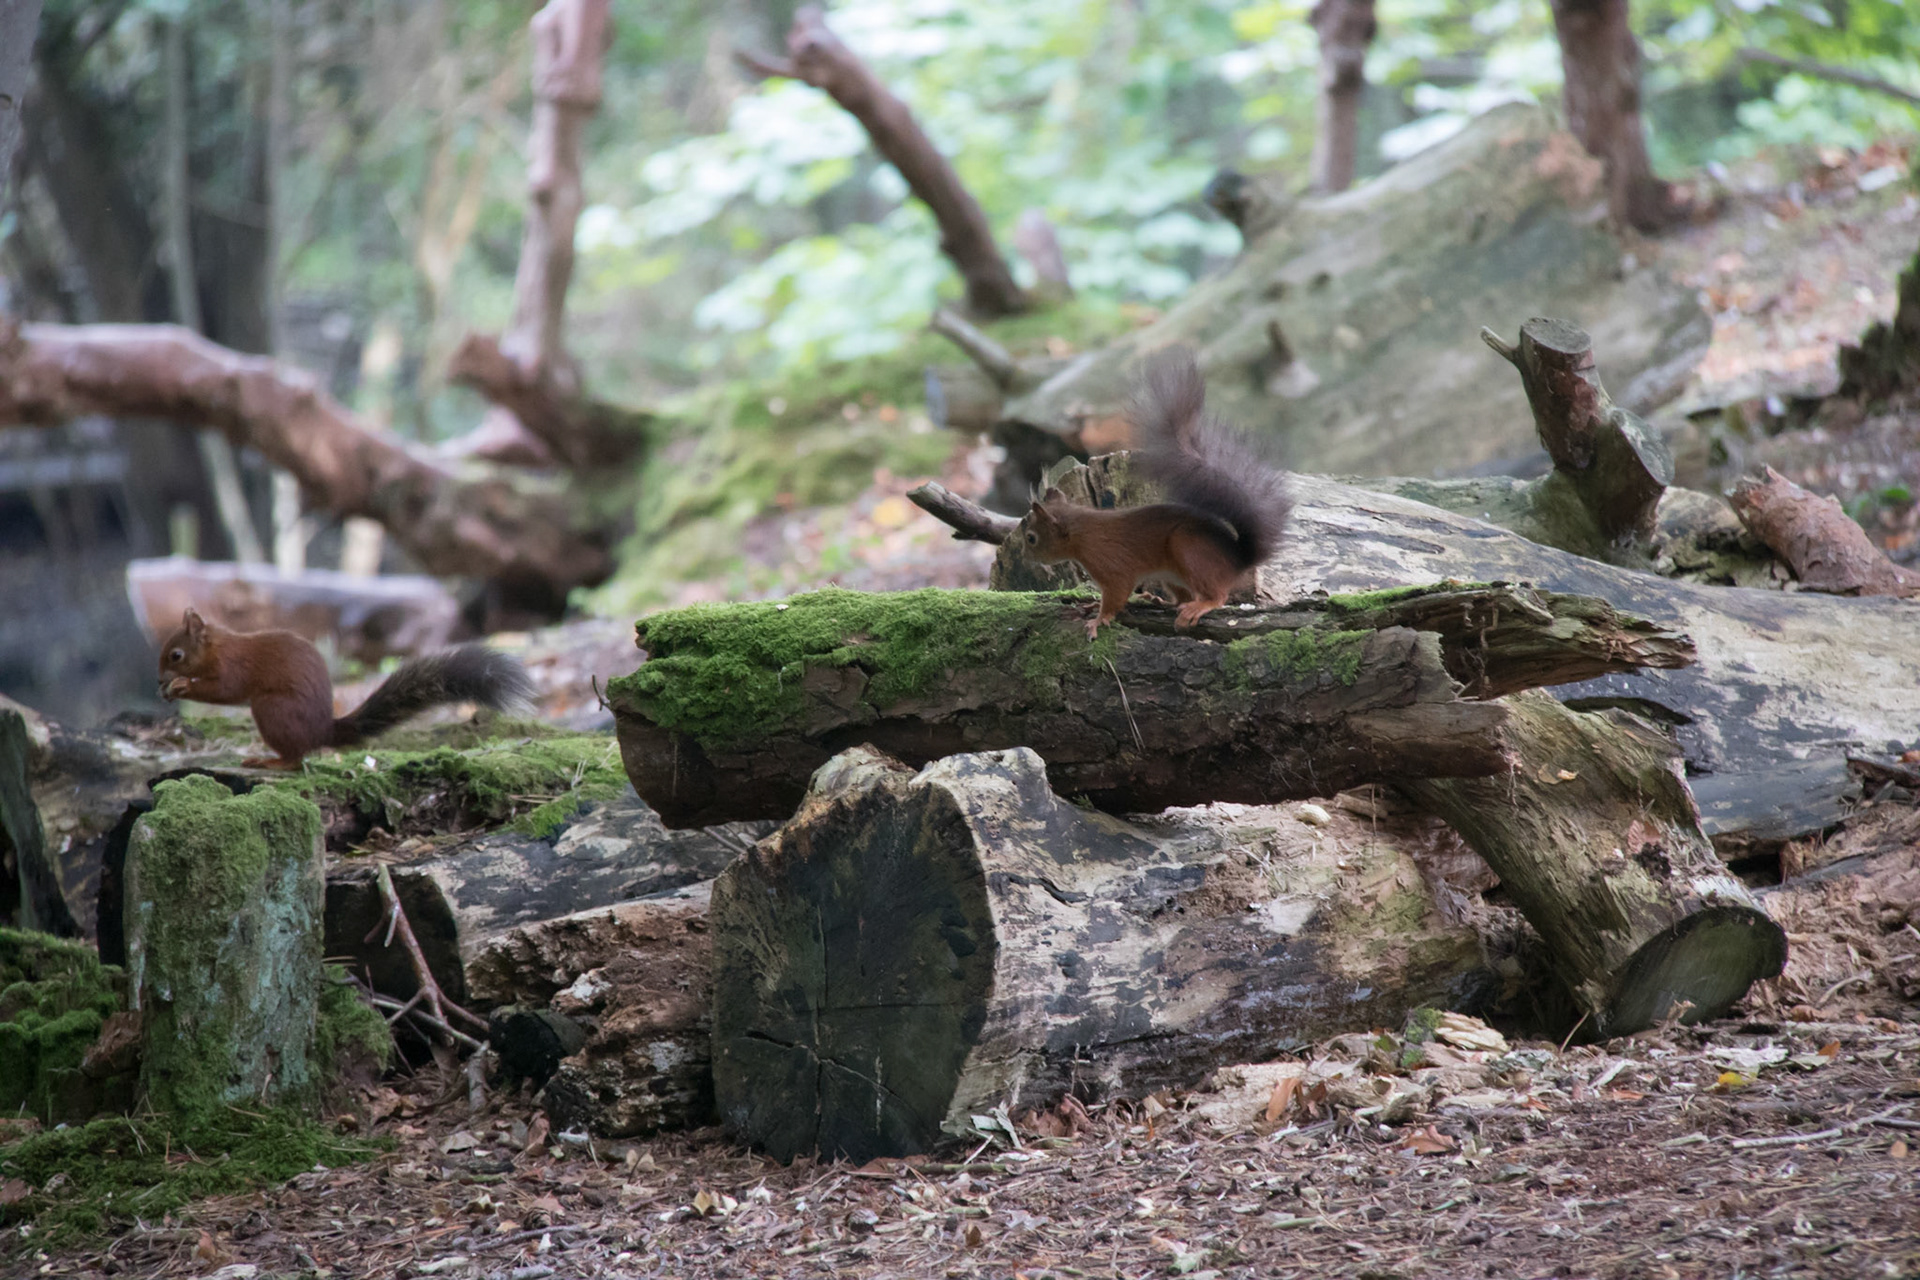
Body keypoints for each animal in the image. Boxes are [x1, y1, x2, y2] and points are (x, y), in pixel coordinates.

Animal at [156, 608, 535, 770]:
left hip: (271, 709)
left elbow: (224, 690)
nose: (158, 680)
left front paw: (181, 687)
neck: (218, 646)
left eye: (176, 655)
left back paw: (270, 761)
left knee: (297, 758)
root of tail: (323, 730)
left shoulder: (234, 667)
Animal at [1023, 345, 1291, 638]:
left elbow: (1116, 594)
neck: (1081, 534)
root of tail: (1239, 558)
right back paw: (1158, 600)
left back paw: (1199, 606)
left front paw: (1097, 620)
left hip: (1190, 549)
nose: (1026, 558)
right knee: (1183, 596)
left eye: (1031, 538)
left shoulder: (1111, 565)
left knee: (1217, 596)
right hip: (1172, 574)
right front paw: (1094, 606)